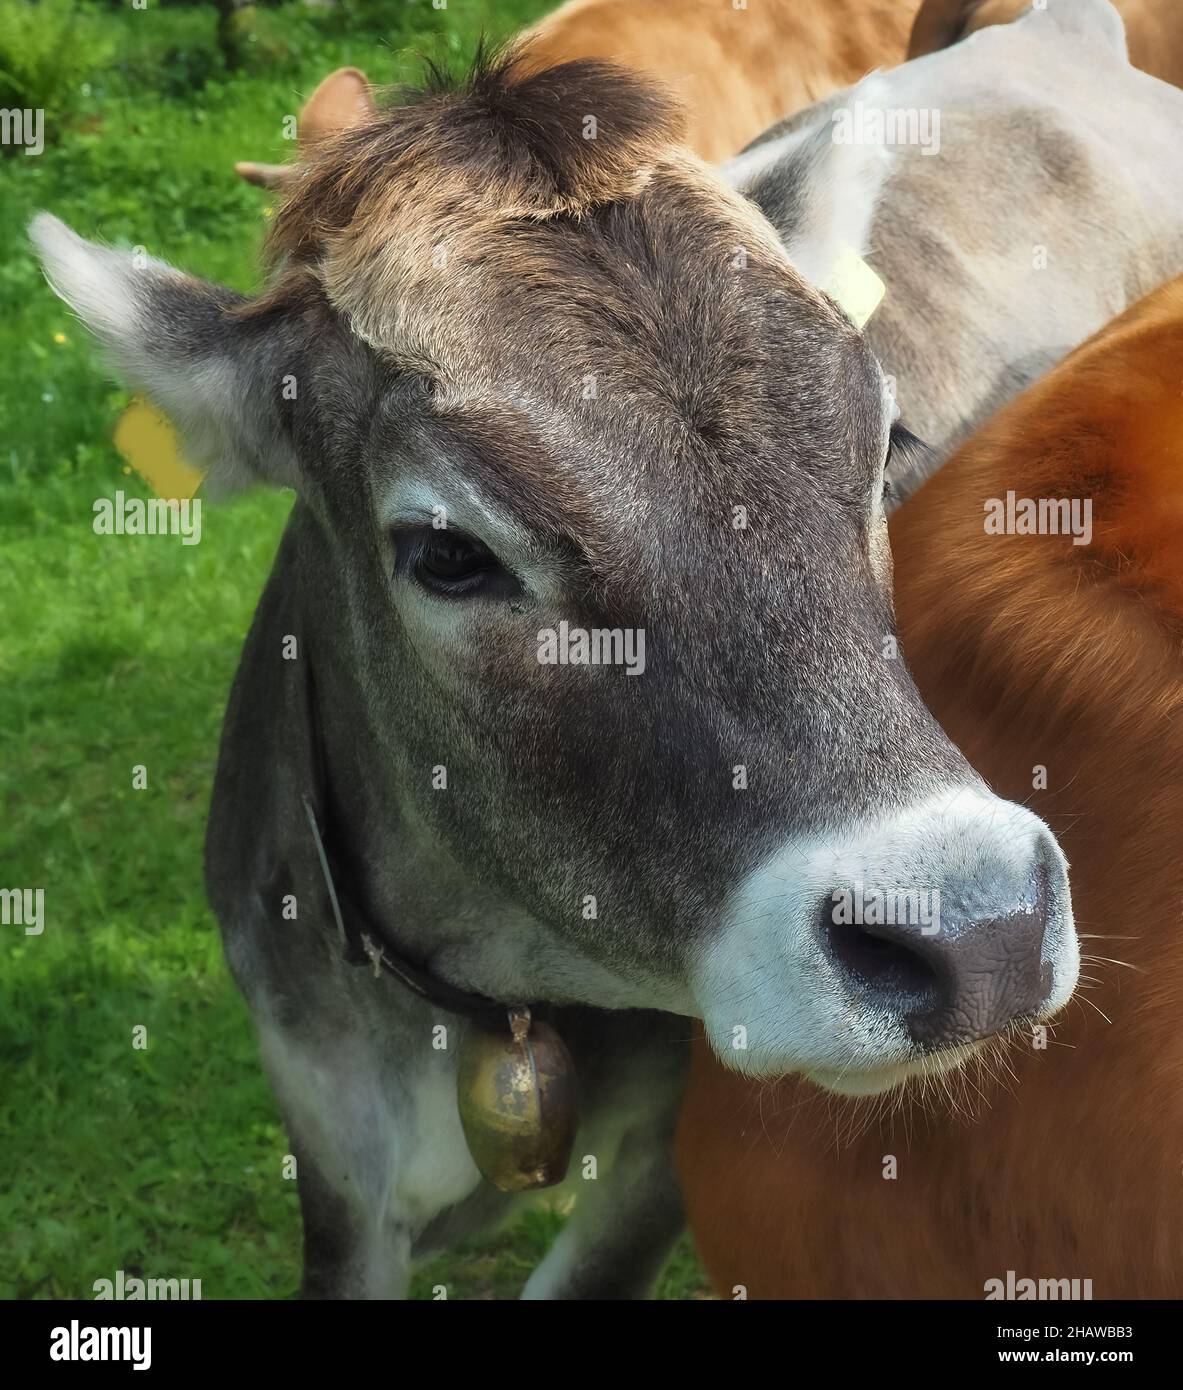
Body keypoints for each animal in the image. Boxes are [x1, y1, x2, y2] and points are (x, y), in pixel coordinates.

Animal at [31, 36, 1095, 1295]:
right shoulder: (333, 1159)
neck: (484, 984)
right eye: (446, 550)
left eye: (884, 442)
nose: (978, 931)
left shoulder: (664, 1162)